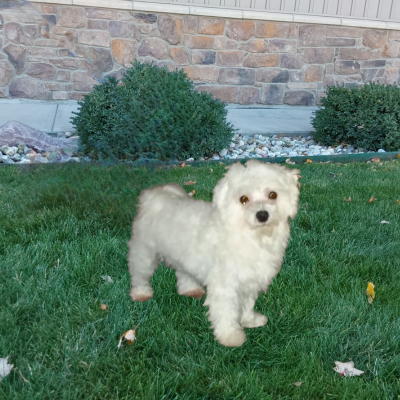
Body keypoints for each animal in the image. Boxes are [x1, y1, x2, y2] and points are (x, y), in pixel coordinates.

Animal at [128, 159, 300, 346]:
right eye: (243, 199)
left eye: (273, 195)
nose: (262, 215)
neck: (251, 236)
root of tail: (157, 195)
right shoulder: (224, 286)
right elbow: (226, 312)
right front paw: (230, 336)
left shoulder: (249, 281)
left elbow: (247, 304)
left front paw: (250, 320)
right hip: (144, 252)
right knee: (139, 273)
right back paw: (141, 293)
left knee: (183, 272)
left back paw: (190, 289)